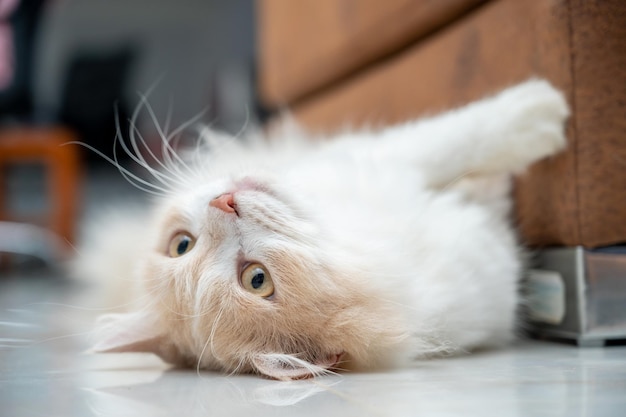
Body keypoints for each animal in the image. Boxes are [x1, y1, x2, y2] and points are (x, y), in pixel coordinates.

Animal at [73, 79, 564, 380]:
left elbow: (455, 144)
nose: (223, 201)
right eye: (257, 280)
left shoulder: (374, 159)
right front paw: (543, 111)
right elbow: (476, 136)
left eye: (180, 245)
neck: (349, 237)